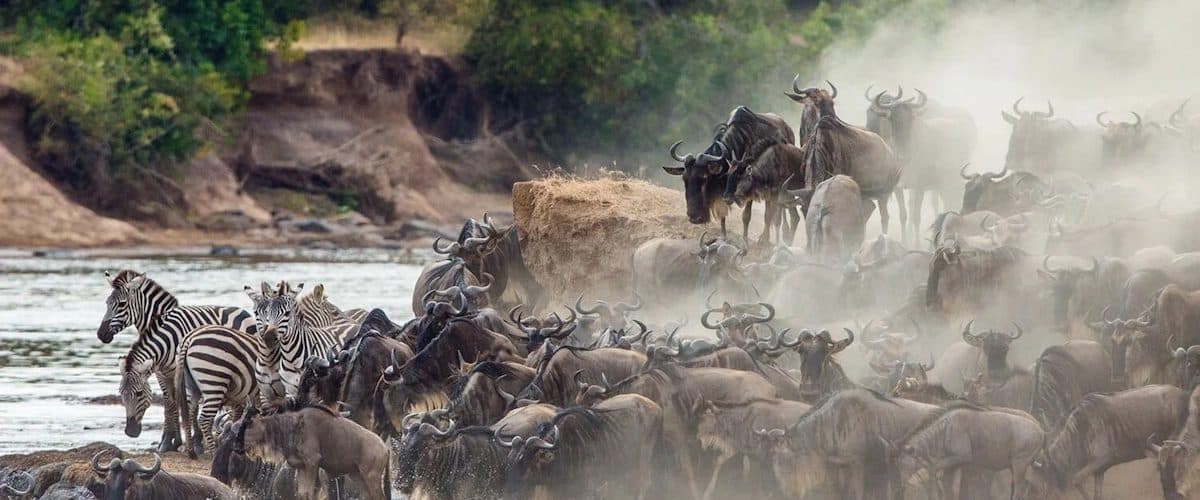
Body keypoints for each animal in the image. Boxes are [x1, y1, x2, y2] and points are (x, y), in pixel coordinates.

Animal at [101, 269, 255, 452]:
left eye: (122, 304)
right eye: (107, 303)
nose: (100, 334)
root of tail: (241, 311)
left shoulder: (179, 373)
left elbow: (185, 405)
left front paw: (193, 442)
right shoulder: (161, 373)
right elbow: (170, 404)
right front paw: (169, 441)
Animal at [174, 325, 263, 458]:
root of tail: (190, 337)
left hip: (191, 387)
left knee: (188, 413)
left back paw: (191, 452)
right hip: (214, 380)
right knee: (204, 419)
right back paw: (214, 453)